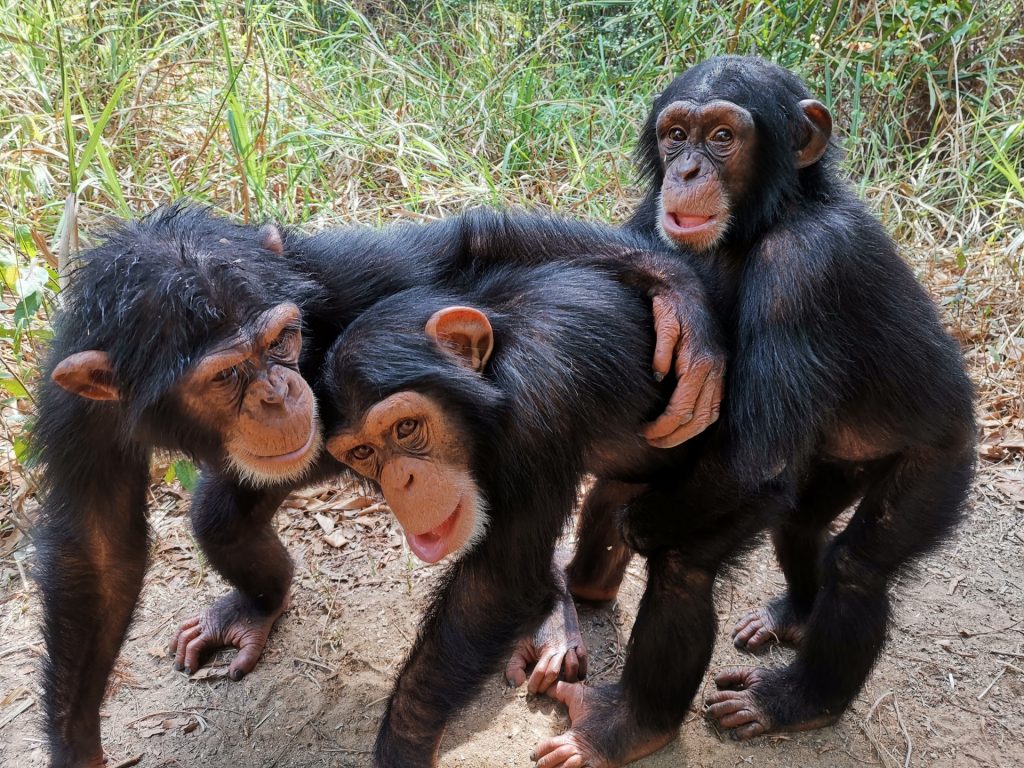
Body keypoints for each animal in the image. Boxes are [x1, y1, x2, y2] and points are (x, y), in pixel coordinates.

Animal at [32, 204, 720, 768]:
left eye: (281, 340)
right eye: (226, 374)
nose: (278, 393)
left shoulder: (333, 276)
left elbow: (463, 250)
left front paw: (678, 295)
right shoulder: (75, 402)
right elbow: (97, 550)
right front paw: (75, 746)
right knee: (220, 519)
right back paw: (255, 607)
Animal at [552, 54, 974, 765]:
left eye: (723, 137)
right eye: (676, 137)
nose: (687, 172)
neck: (764, 219)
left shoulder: (805, 269)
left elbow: (751, 465)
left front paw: (640, 527)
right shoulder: (653, 215)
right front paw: (683, 311)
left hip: (942, 459)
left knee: (845, 568)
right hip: (838, 465)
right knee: (797, 526)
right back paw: (786, 617)